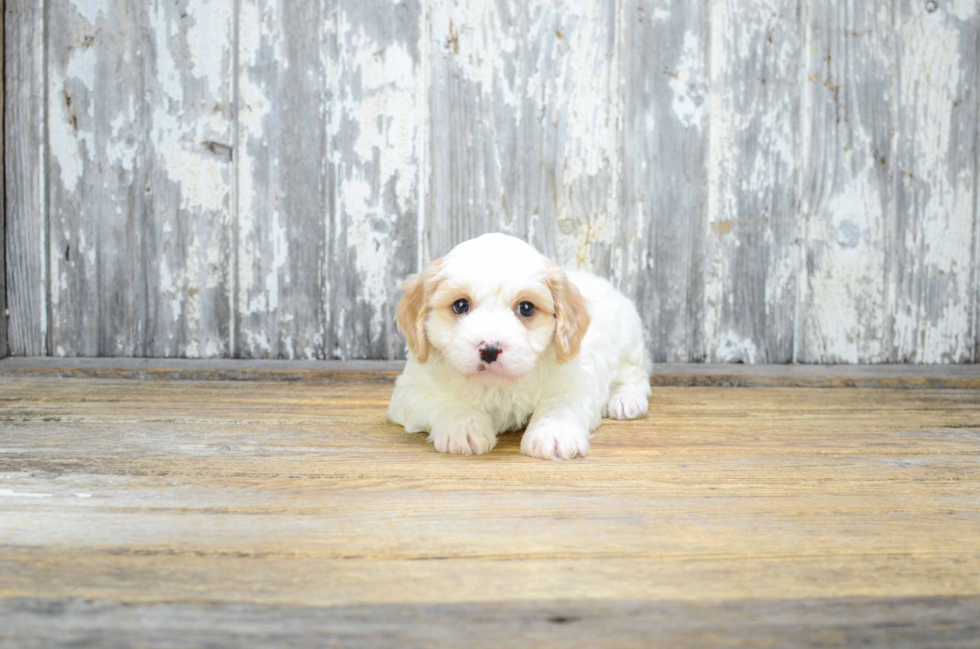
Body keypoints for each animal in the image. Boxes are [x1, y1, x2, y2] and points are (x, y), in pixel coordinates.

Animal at [384, 233, 652, 460]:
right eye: (460, 305)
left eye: (525, 308)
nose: (490, 349)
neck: (498, 386)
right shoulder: (410, 391)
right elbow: (445, 402)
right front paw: (463, 428)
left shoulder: (577, 382)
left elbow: (559, 405)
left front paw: (553, 434)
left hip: (628, 340)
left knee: (636, 373)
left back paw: (626, 400)